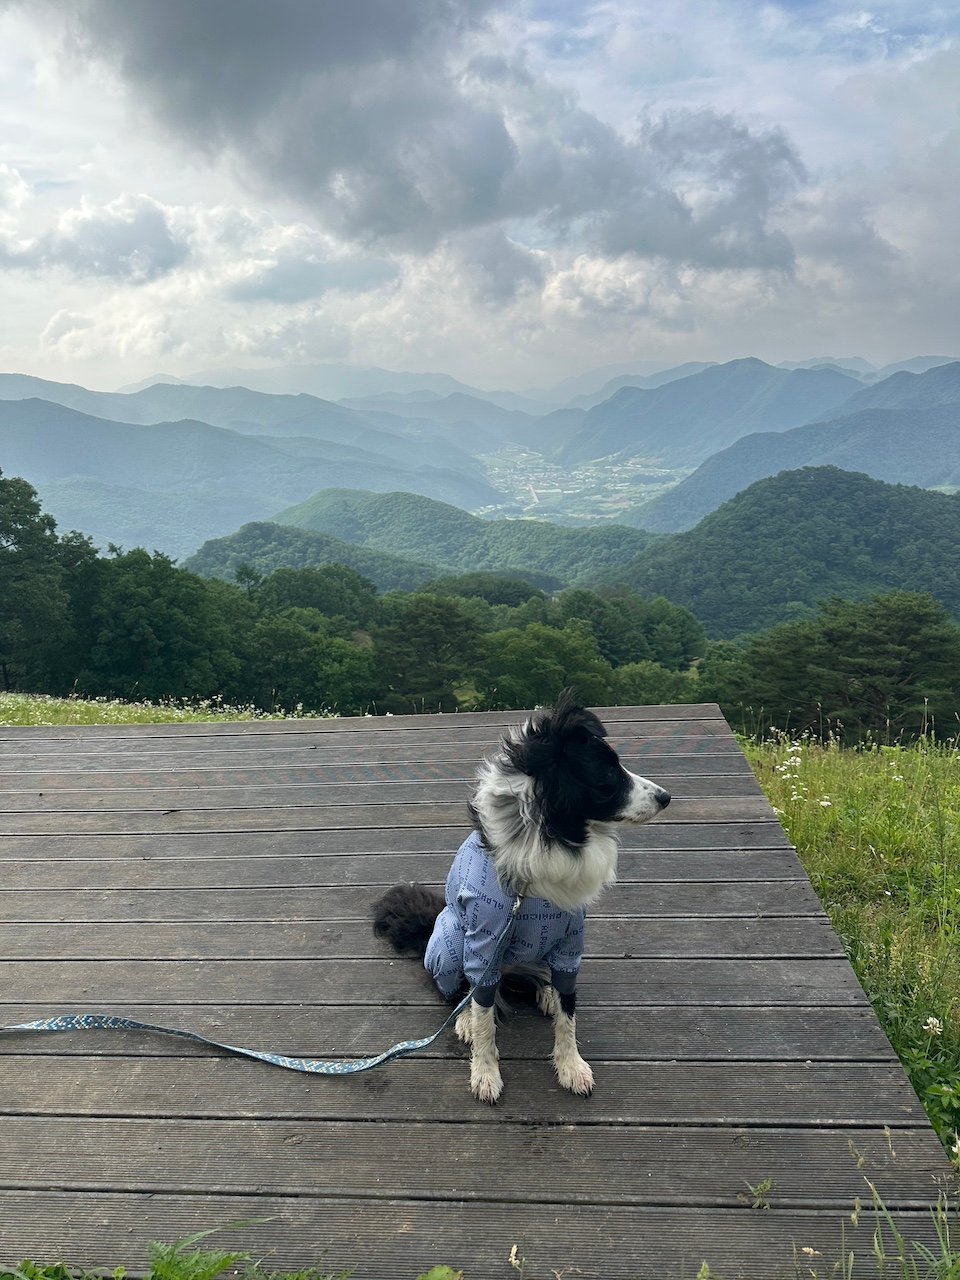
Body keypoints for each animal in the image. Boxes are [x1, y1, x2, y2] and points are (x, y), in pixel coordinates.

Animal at [371, 696, 670, 1105]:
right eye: (608, 773)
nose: (667, 798)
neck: (550, 838)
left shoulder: (570, 943)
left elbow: (569, 1017)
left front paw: (571, 1066)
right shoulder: (483, 949)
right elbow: (485, 1022)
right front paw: (485, 1072)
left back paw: (545, 993)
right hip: (449, 941)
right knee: (455, 992)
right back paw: (464, 1017)